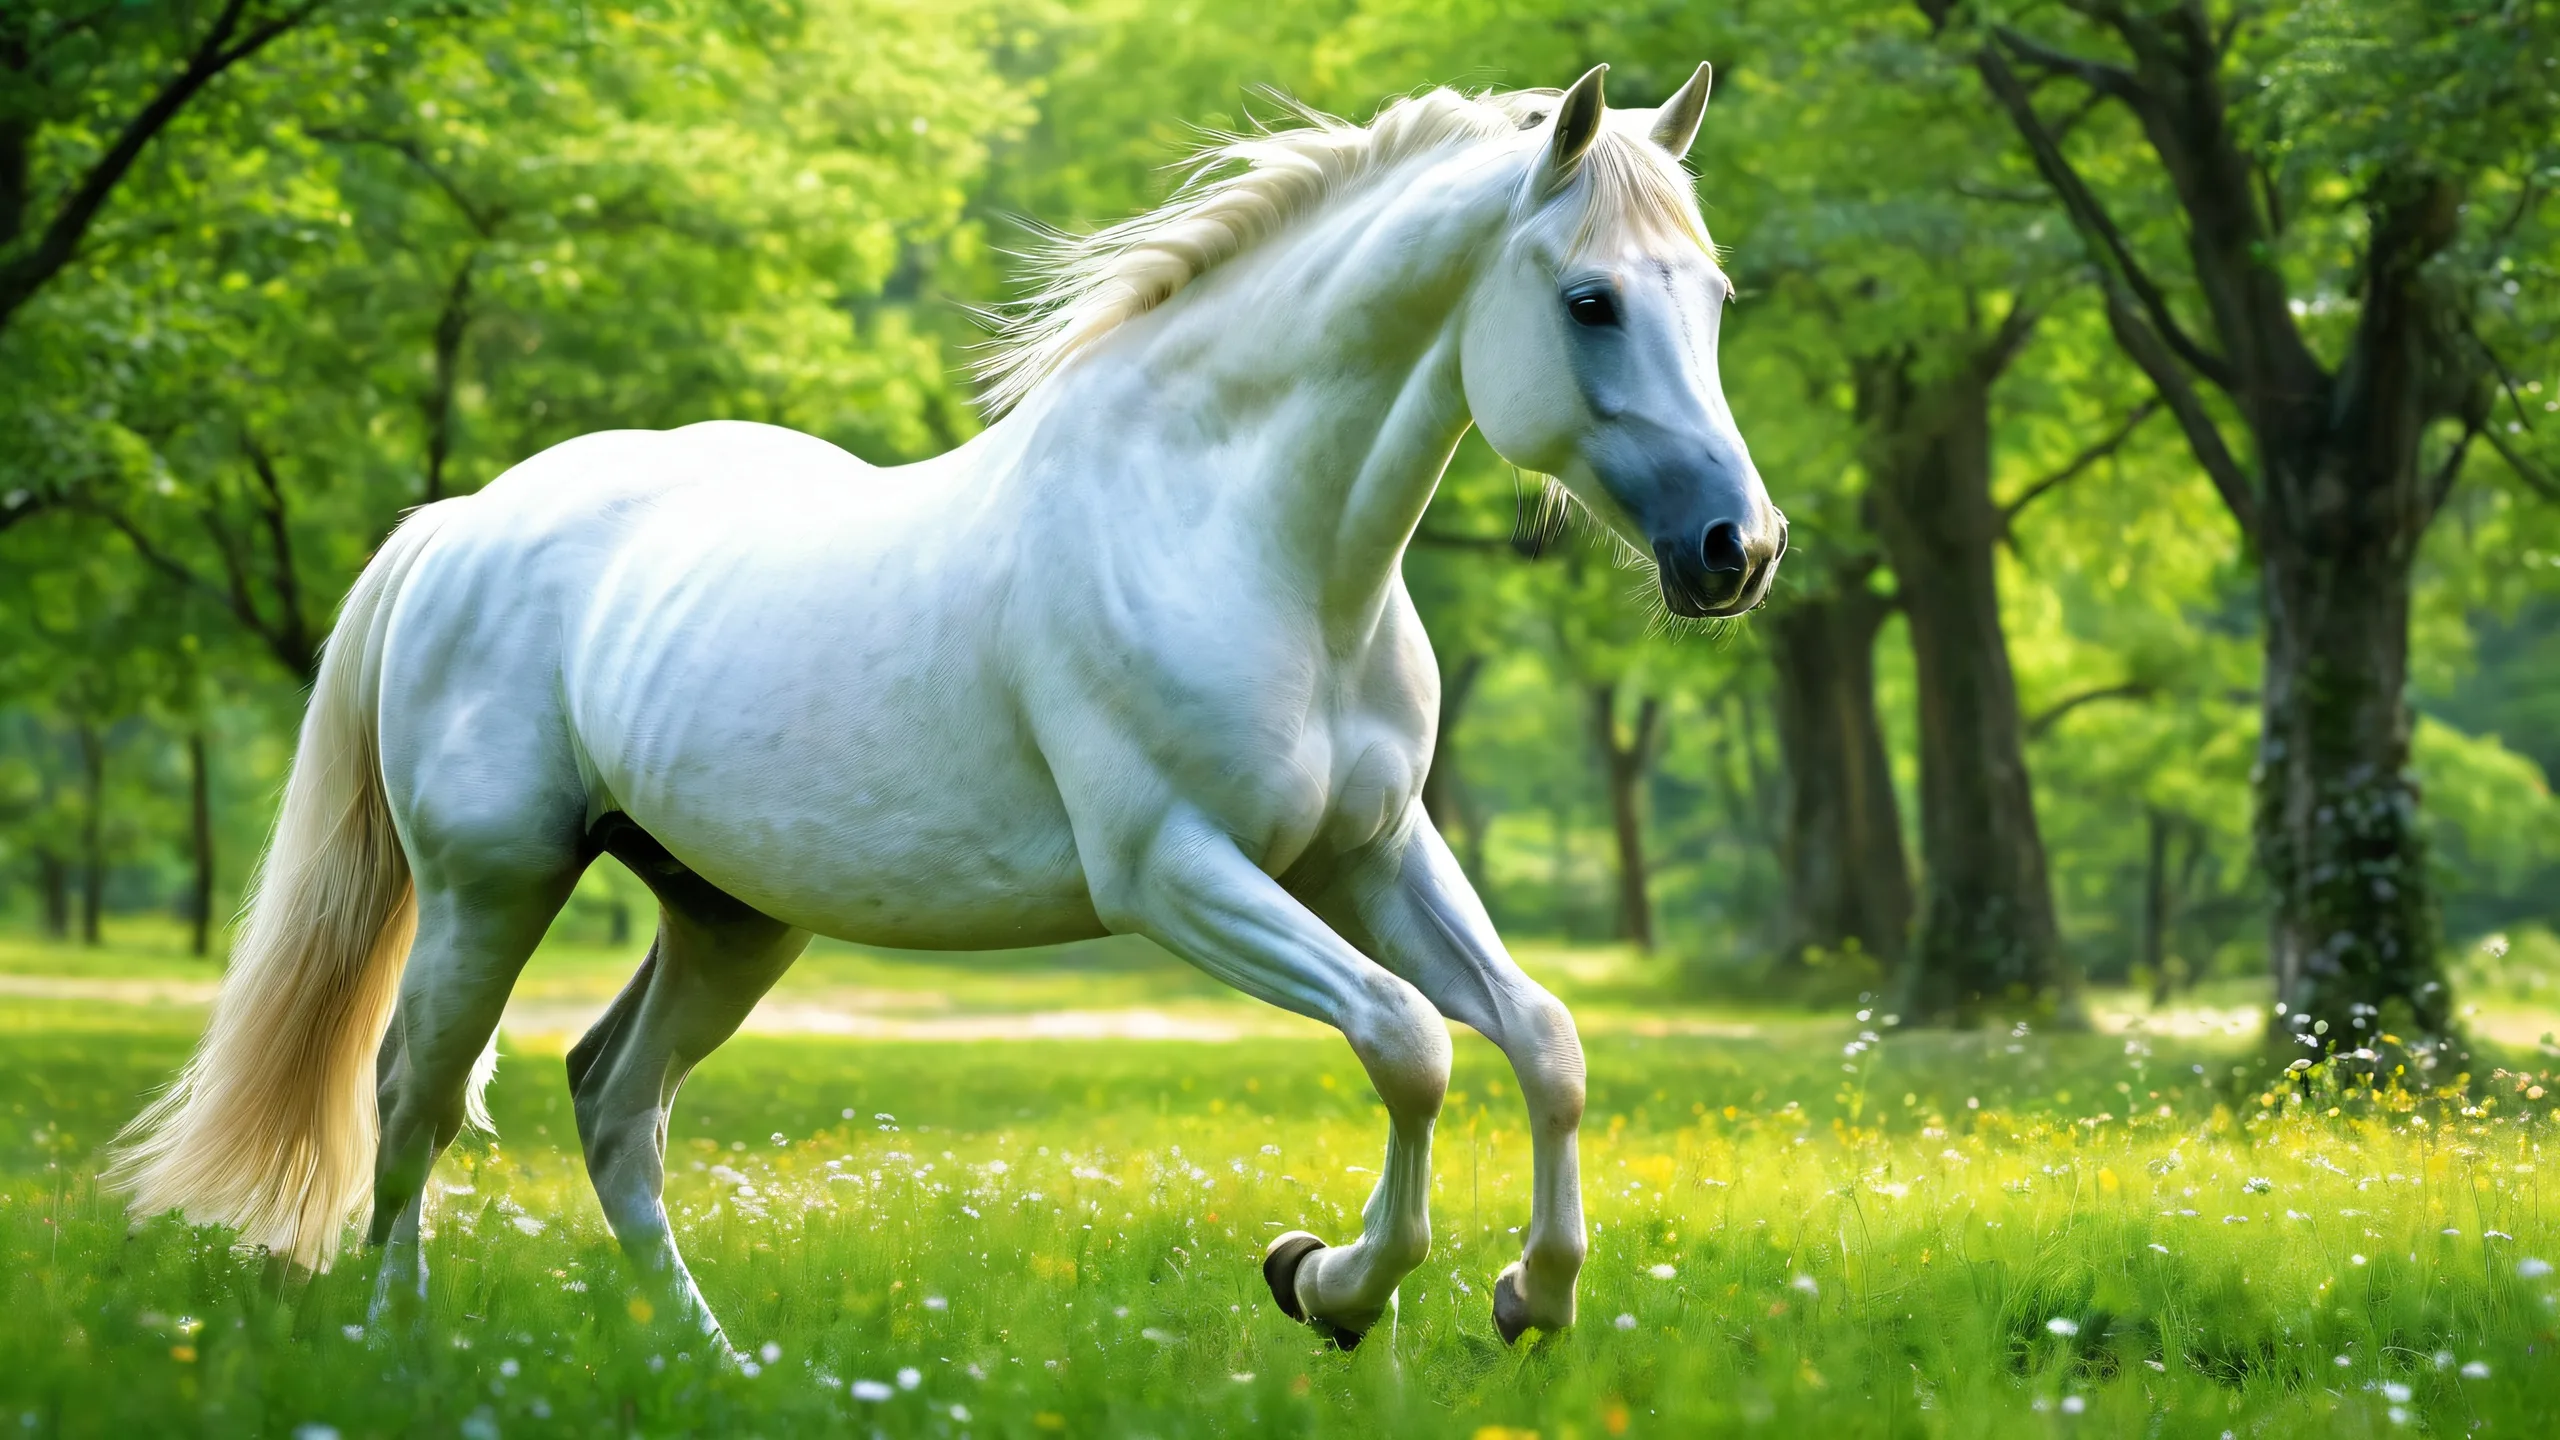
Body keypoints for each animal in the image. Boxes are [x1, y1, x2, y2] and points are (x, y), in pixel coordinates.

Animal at [107, 61, 1783, 1352]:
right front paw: (1334, 1286)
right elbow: (1409, 1042)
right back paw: (402, 1348)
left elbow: (1541, 1039)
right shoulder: (1177, 874)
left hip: (727, 918)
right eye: (1589, 299)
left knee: (611, 1101)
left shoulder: (1366, 855)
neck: (1239, 535)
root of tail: (462, 523)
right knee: (417, 1099)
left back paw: (715, 1364)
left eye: (1714, 298)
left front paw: (1526, 1299)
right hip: (491, 885)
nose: (1740, 551)